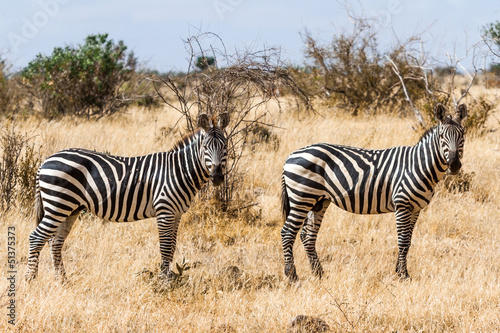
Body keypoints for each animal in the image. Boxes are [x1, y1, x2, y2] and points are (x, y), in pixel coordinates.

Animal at [26, 111, 229, 280]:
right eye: (205, 147)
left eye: (225, 146)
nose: (217, 177)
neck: (178, 171)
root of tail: (44, 162)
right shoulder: (165, 211)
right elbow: (165, 247)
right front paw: (164, 282)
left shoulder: (177, 213)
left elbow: (172, 247)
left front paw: (170, 278)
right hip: (57, 204)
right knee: (36, 237)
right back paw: (30, 281)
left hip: (70, 208)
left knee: (55, 241)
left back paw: (62, 281)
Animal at [280, 104, 466, 280]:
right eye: (442, 136)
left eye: (462, 135)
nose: (455, 165)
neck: (419, 165)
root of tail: (291, 155)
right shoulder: (402, 205)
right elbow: (403, 240)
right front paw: (403, 275)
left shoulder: (415, 209)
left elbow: (408, 241)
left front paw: (400, 271)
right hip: (302, 197)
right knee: (288, 232)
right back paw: (292, 275)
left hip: (318, 201)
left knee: (307, 235)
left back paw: (319, 273)